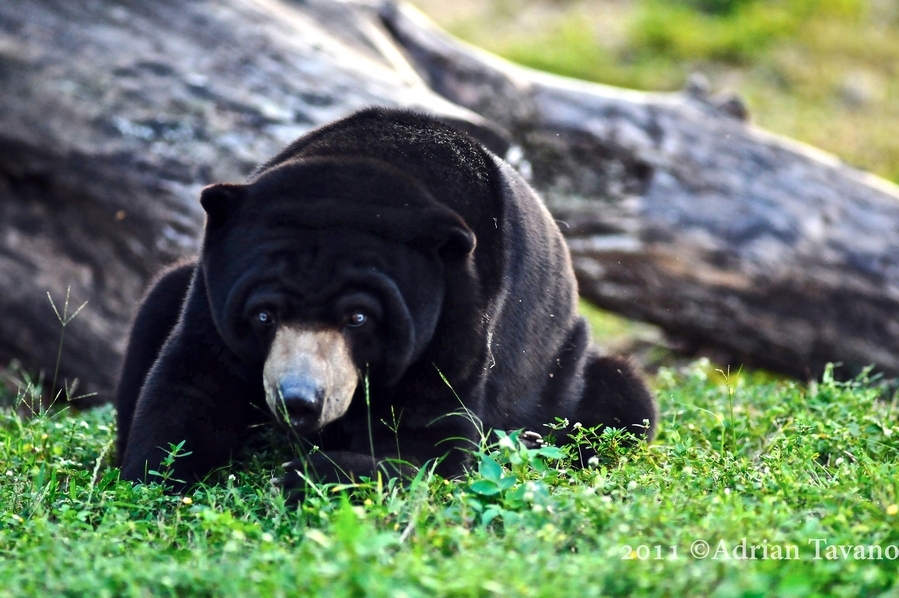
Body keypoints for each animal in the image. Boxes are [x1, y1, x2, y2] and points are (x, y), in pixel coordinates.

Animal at [116, 108, 656, 492]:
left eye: (358, 317)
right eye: (263, 314)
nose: (299, 402)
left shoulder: (459, 313)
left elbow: (427, 440)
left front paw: (310, 475)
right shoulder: (212, 296)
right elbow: (195, 379)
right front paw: (154, 479)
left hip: (561, 374)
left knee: (621, 404)